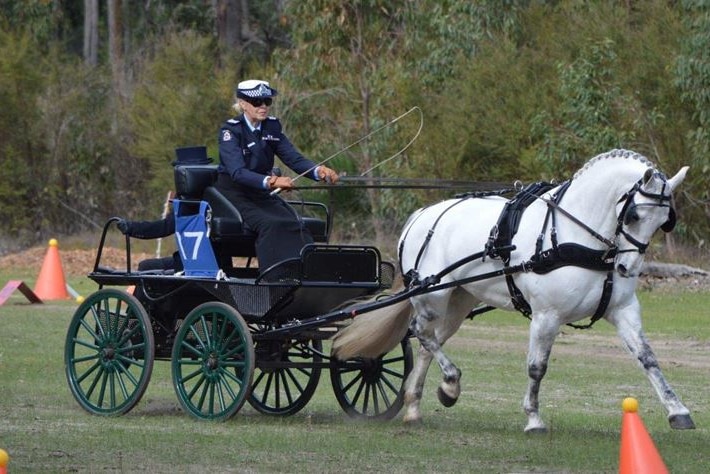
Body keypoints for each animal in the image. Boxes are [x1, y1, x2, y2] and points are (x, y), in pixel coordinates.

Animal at [334, 150, 696, 432]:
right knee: (420, 332)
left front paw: (678, 411)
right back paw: (450, 382)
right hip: (432, 295)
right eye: (634, 215)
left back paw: (416, 406)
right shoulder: (546, 316)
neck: (576, 238)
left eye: (665, 220)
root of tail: (420, 216)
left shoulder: (622, 309)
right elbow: (537, 367)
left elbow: (648, 358)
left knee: (428, 342)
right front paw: (533, 419)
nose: (626, 268)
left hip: (458, 301)